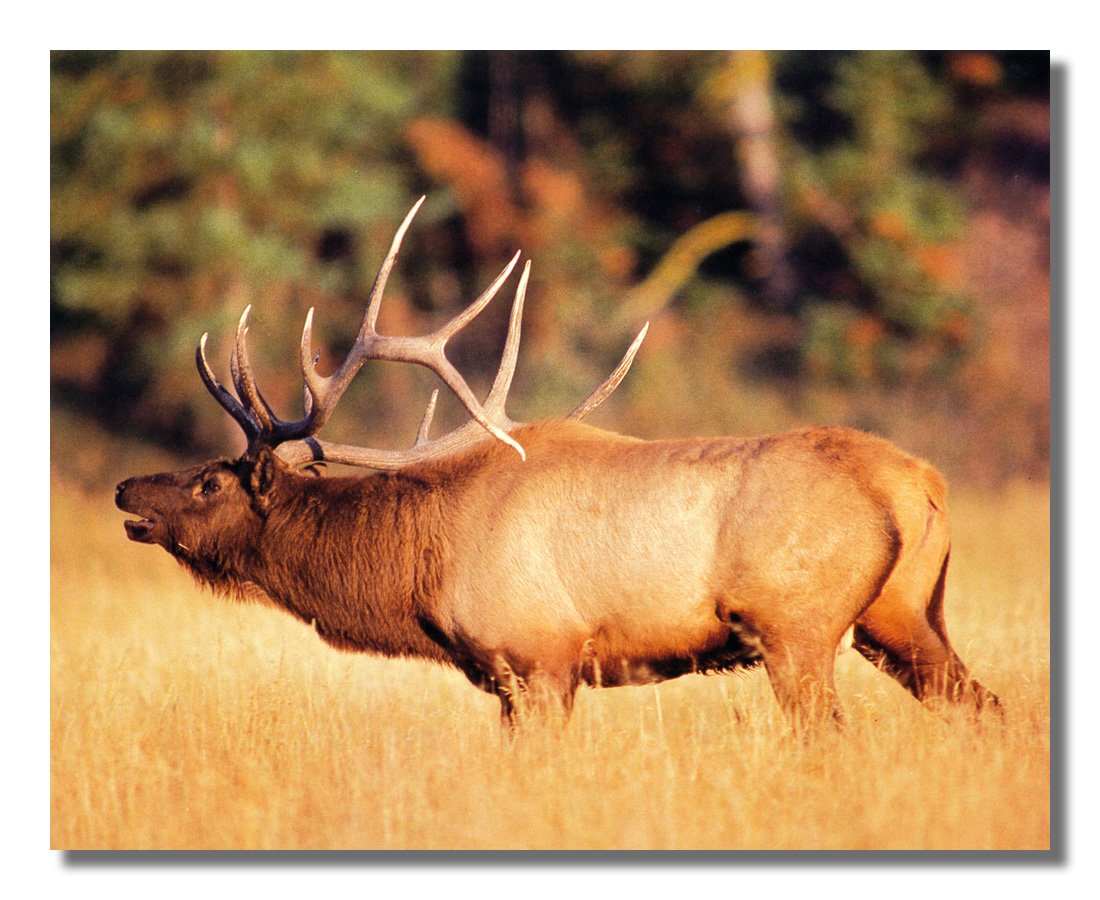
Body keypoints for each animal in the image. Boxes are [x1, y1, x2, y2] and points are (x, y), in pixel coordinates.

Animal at [115, 197, 1000, 732]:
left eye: (209, 480)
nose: (127, 487)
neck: (417, 571)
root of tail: (922, 485)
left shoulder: (538, 656)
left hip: (799, 625)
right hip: (903, 615)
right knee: (985, 706)